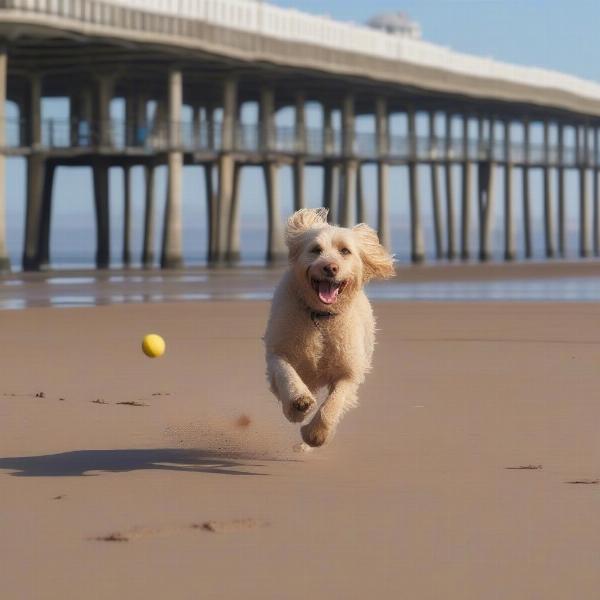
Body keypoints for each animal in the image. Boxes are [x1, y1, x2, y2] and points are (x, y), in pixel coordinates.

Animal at [264, 207, 396, 446]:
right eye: (316, 250)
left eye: (345, 251)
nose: (330, 267)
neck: (320, 317)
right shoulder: (278, 352)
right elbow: (287, 375)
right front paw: (299, 403)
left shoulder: (349, 372)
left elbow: (333, 404)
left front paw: (315, 434)